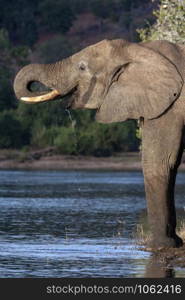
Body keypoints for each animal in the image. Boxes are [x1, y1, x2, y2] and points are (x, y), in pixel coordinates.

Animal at [13, 39, 185, 251]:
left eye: (82, 67)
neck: (140, 49)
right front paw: (174, 242)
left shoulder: (170, 107)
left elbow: (160, 162)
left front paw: (162, 246)